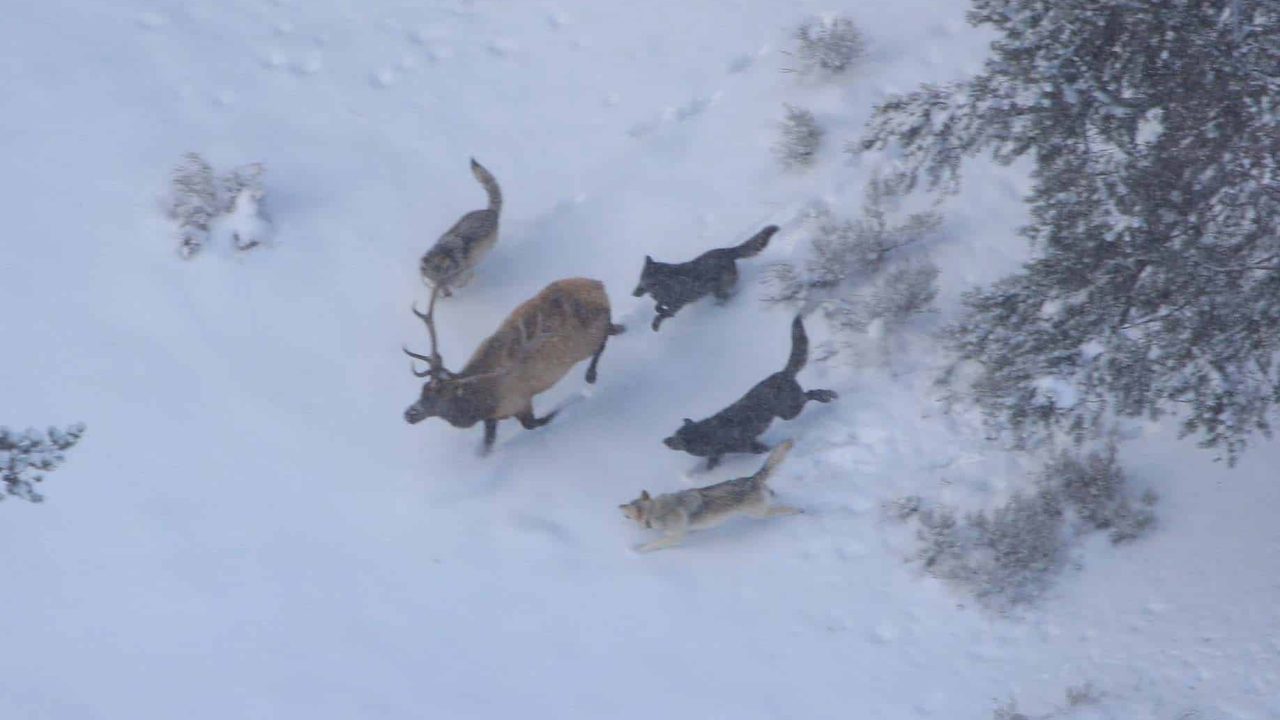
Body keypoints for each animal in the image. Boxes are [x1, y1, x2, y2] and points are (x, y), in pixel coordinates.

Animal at [403, 278, 626, 454]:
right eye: (423, 390)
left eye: (439, 396)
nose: (409, 413)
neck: (483, 401)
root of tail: (599, 284)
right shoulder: (492, 417)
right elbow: (488, 443)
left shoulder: (520, 401)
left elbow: (535, 423)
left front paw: (570, 403)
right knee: (612, 329)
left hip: (587, 340)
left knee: (602, 341)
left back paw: (591, 374)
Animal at [420, 158, 502, 296]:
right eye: (435, 282)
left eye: (445, 280)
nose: (447, 295)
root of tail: (489, 211)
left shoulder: (465, 271)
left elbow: (465, 279)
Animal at [621, 440, 801, 552]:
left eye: (627, 508)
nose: (619, 507)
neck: (656, 511)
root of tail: (752, 479)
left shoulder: (675, 538)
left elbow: (653, 545)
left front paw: (637, 550)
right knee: (773, 494)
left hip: (760, 514)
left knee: (784, 509)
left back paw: (799, 510)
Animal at [632, 224, 778, 331]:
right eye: (640, 278)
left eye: (644, 280)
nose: (634, 293)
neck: (663, 283)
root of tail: (727, 251)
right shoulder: (666, 301)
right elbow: (658, 307)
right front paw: (660, 309)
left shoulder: (678, 302)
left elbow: (661, 315)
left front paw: (656, 323)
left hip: (718, 289)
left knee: (727, 296)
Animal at [663, 315, 837, 469]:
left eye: (676, 438)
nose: (664, 441)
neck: (706, 434)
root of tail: (782, 373)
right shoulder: (719, 454)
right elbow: (712, 463)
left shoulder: (749, 445)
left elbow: (762, 450)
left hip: (790, 411)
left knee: (810, 394)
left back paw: (827, 395)